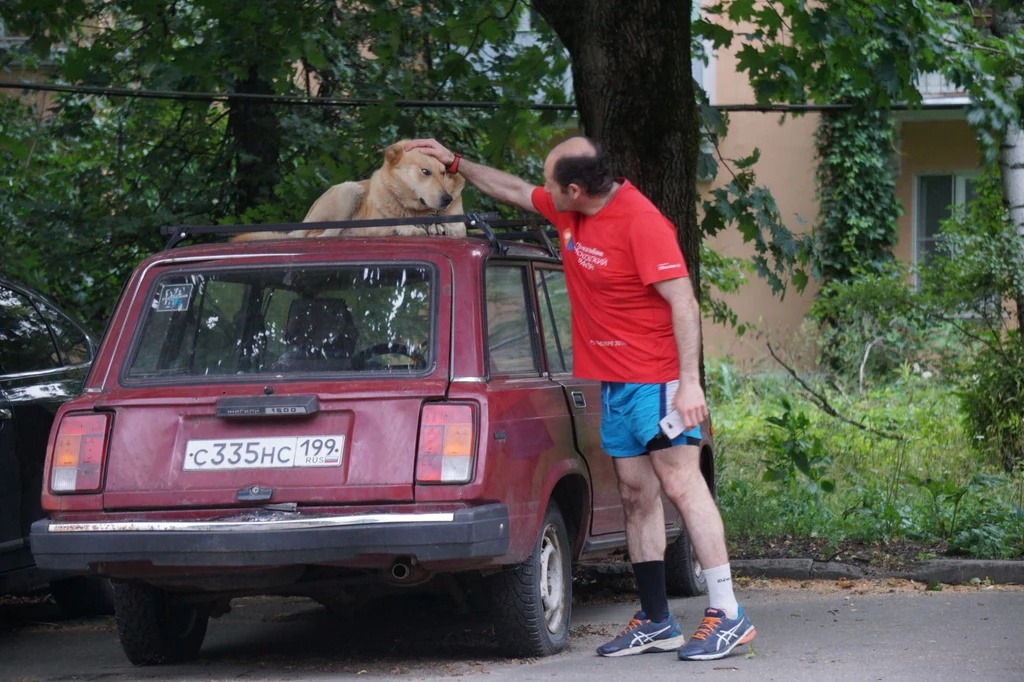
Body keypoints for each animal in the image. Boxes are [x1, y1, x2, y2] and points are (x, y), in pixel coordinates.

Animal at [231, 140, 464, 241]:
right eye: (425, 171)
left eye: (443, 172)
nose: (447, 199)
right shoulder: (373, 224)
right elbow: (394, 224)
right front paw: (411, 228)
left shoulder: (459, 226)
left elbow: (452, 227)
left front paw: (436, 225)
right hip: (349, 191)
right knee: (323, 234)